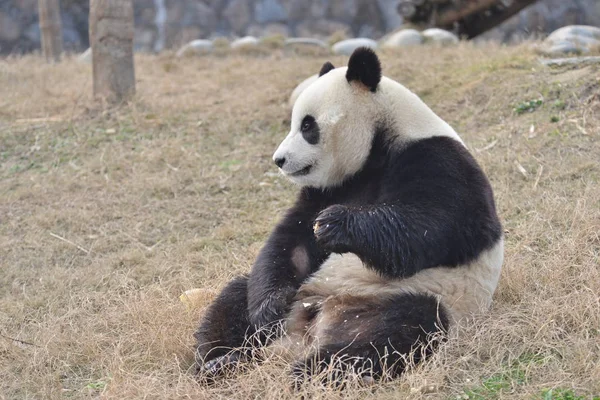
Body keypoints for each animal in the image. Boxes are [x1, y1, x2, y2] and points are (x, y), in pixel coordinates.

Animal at [195, 46, 504, 384]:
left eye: (307, 126)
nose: (280, 160)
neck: (378, 144)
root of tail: (305, 331)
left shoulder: (438, 159)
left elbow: (432, 224)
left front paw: (336, 224)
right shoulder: (331, 187)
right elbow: (291, 243)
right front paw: (269, 308)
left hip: (409, 297)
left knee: (396, 330)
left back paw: (309, 372)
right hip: (300, 298)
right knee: (235, 296)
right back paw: (219, 361)